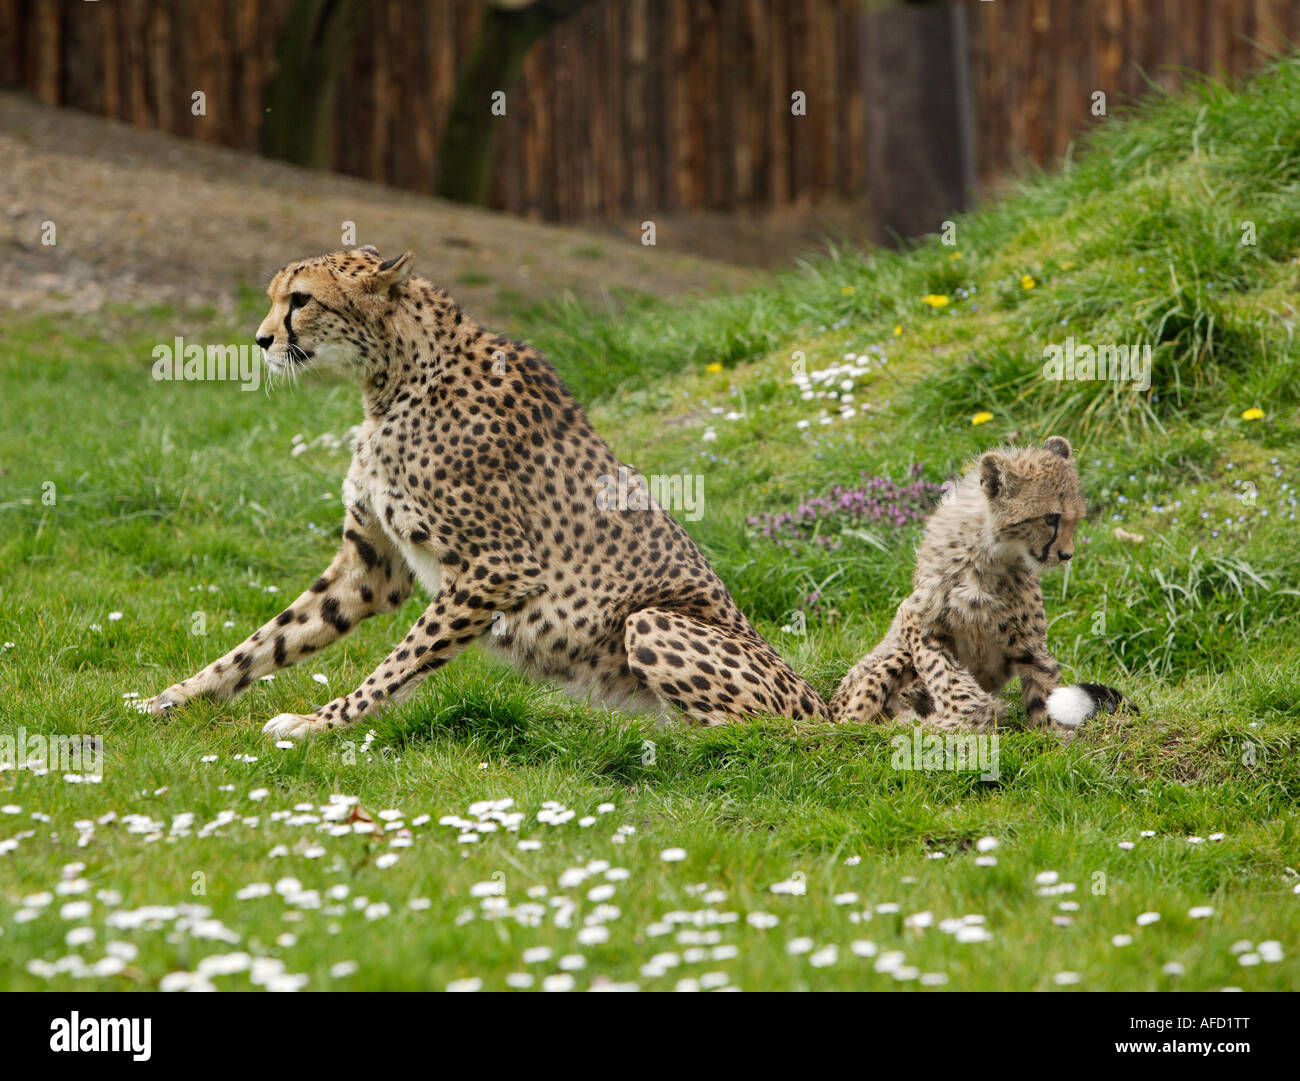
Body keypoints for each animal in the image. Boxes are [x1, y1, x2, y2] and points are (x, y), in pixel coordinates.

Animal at [144, 246, 832, 732]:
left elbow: (400, 661)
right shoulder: (372, 568)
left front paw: (320, 723)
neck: (394, 377)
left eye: (301, 300)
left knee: (758, 736)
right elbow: (272, 638)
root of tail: (824, 708)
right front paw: (172, 698)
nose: (262, 340)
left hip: (652, 623)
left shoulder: (498, 568)